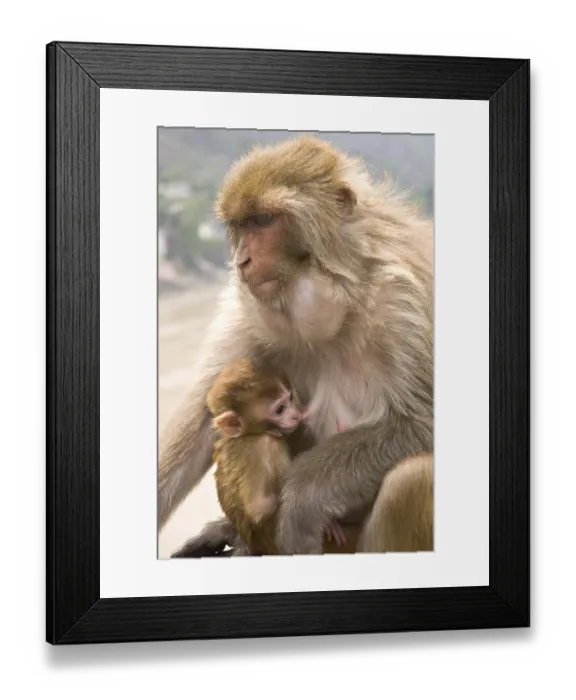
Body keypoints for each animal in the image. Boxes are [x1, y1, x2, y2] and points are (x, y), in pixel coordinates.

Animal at [158, 134, 433, 556]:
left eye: (264, 220)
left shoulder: (403, 300)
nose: (242, 260)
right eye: (241, 225)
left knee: (412, 479)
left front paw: (300, 504)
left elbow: (421, 422)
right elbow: (207, 415)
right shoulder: (248, 312)